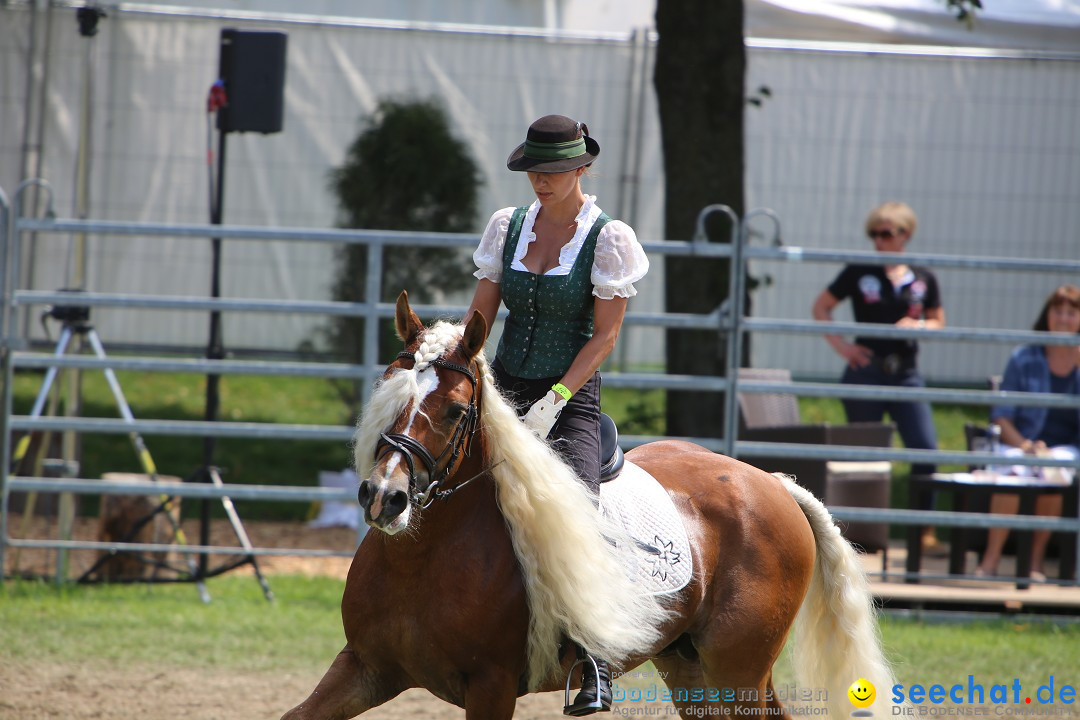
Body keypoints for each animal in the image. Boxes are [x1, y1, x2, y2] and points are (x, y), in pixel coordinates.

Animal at [282, 293, 898, 720]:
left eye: (456, 410)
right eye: (388, 389)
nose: (384, 497)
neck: (421, 558)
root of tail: (771, 483)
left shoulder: (491, 686)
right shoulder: (365, 667)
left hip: (738, 666)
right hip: (691, 667)